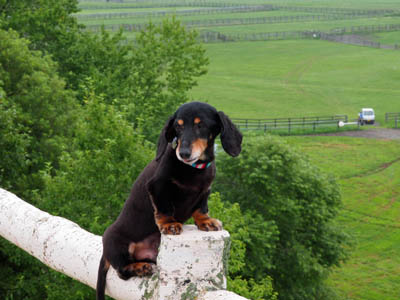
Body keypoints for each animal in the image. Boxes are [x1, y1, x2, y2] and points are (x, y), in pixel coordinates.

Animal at [95, 101, 242, 300]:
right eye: (178, 126)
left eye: (201, 125)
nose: (184, 153)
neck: (192, 168)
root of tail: (105, 253)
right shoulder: (157, 186)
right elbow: (164, 208)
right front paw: (169, 224)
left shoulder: (205, 190)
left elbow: (201, 208)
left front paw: (206, 221)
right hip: (116, 242)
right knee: (122, 271)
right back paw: (140, 267)